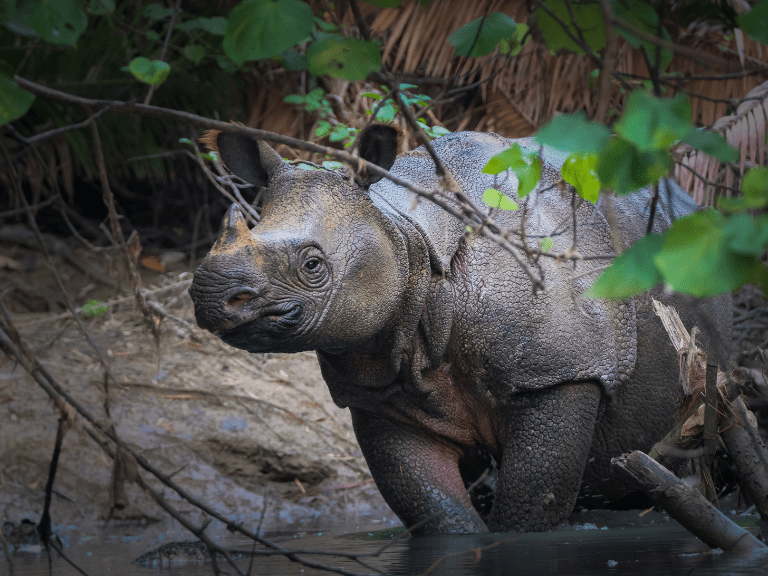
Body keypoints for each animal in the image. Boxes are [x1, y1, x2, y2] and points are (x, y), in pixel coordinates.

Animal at [189, 126, 728, 536]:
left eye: (312, 265)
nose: (213, 297)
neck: (406, 241)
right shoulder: (380, 390)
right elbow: (438, 514)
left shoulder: (562, 369)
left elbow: (529, 509)